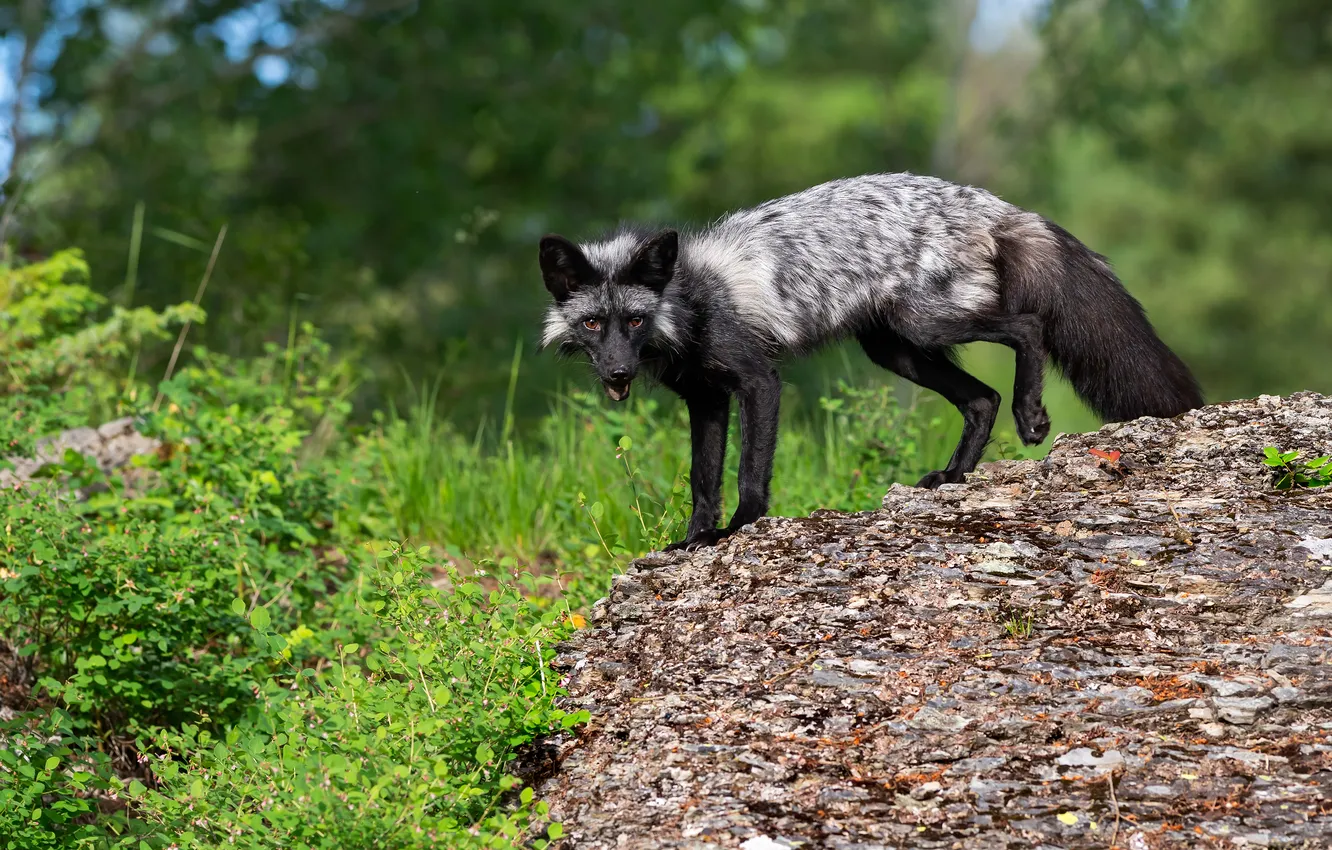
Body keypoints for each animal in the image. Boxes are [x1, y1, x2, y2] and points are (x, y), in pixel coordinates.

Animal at [535, 174, 1204, 554]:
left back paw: (1031, 416)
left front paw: (740, 531)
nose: (618, 375)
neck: (691, 304)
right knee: (980, 396)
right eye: (594, 325)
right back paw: (953, 477)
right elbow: (704, 479)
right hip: (896, 348)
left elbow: (749, 472)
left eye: (634, 322)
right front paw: (695, 540)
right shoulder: (705, 398)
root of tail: (994, 205)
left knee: (1027, 329)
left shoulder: (758, 381)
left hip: (925, 324)